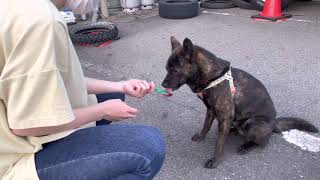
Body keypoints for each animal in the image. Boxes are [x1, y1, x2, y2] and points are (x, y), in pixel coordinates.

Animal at [161, 36, 318, 169]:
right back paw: (232, 130)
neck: (213, 77)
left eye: (175, 70)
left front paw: (215, 160)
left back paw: (246, 146)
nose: (163, 84)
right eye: (167, 69)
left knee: (262, 142)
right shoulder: (211, 110)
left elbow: (219, 144)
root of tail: (273, 123)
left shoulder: (225, 116)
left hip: (252, 124)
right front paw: (201, 136)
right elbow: (206, 125)